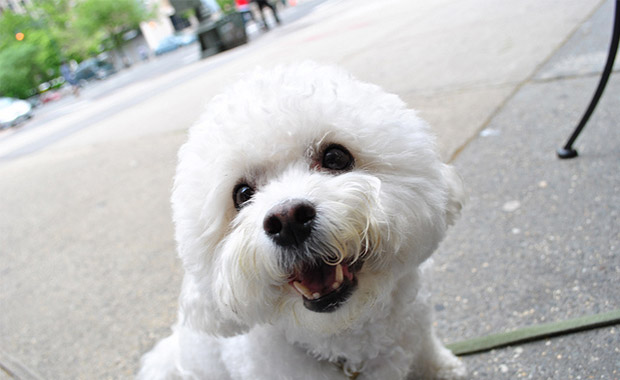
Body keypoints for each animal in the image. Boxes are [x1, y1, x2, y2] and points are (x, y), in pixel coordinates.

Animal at [137, 63, 464, 380]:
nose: (288, 221)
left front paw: (443, 369)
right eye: (242, 194)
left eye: (335, 157)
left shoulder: (416, 325)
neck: (348, 341)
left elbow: (426, 350)